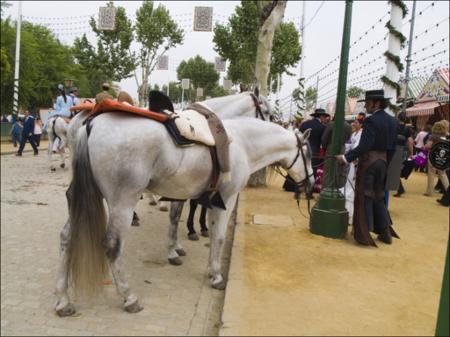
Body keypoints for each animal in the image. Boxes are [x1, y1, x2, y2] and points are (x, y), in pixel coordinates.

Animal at [55, 113, 312, 316]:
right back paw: (129, 297)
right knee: (112, 246)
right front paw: (217, 276)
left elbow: (206, 232)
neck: (240, 144)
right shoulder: (226, 200)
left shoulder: (208, 202)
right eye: (309, 155)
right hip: (123, 203)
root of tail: (92, 124)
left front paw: (206, 268)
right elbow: (219, 237)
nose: (310, 185)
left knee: (67, 237)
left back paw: (63, 301)